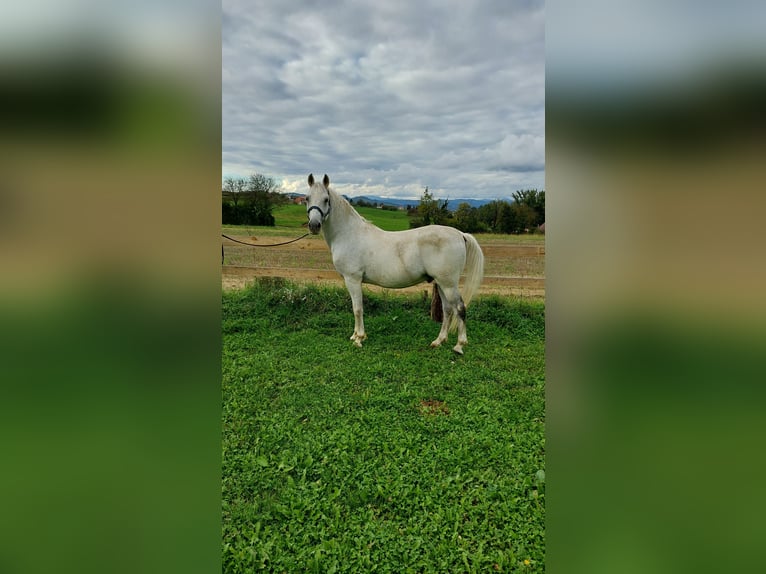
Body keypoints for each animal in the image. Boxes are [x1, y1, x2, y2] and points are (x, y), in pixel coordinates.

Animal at [308, 174, 484, 356]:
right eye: (307, 198)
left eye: (326, 199)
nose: (314, 225)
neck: (348, 234)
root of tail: (460, 234)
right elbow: (356, 308)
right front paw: (355, 336)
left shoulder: (353, 279)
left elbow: (357, 309)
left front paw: (359, 339)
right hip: (441, 283)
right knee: (447, 310)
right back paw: (438, 341)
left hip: (448, 284)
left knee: (460, 308)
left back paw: (459, 345)